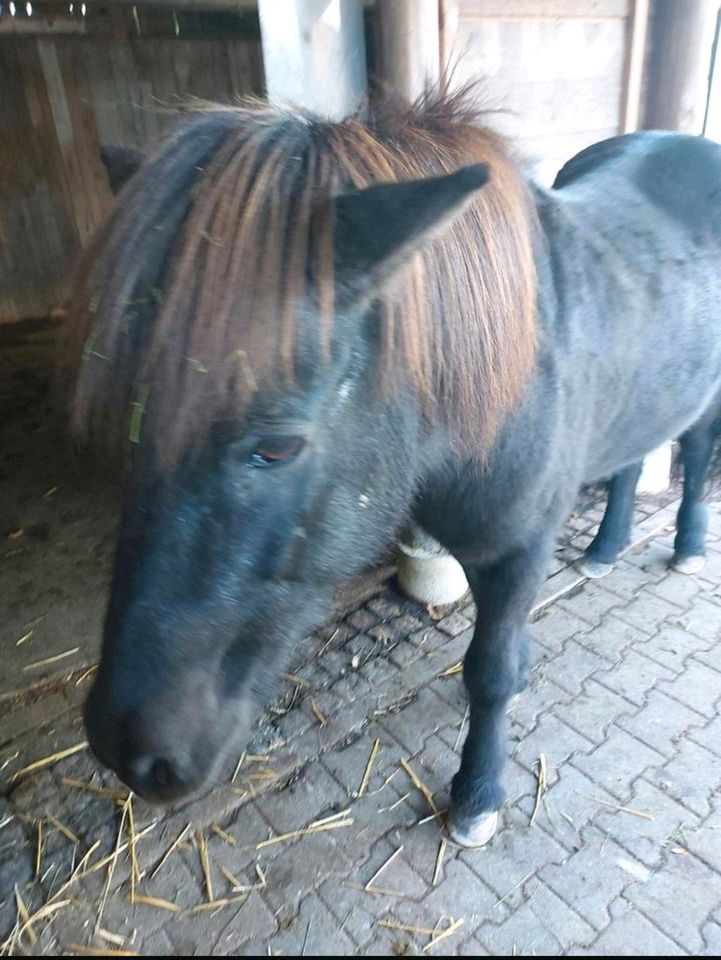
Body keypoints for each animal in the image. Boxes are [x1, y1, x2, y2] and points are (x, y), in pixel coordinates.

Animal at [67, 94, 720, 848]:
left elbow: (490, 671)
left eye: (278, 447)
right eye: (135, 415)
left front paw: (478, 792)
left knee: (695, 450)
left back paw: (687, 547)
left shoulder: (519, 548)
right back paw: (607, 547)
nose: (127, 749)